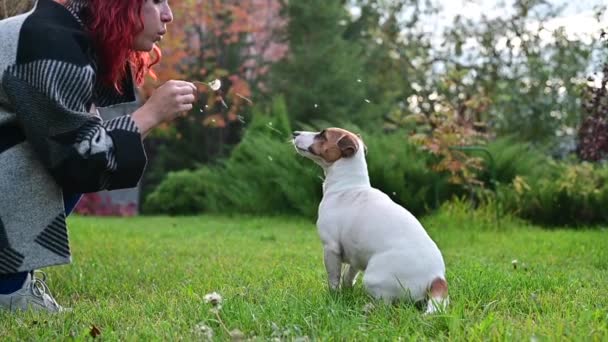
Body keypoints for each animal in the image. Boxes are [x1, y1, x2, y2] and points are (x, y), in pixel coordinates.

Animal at [292, 127, 448, 312]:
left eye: (323, 134)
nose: (294, 133)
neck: (348, 186)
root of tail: (436, 278)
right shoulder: (355, 256)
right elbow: (348, 276)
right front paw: (346, 292)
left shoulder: (330, 248)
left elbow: (334, 279)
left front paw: (333, 297)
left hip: (373, 277)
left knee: (387, 305)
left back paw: (367, 307)